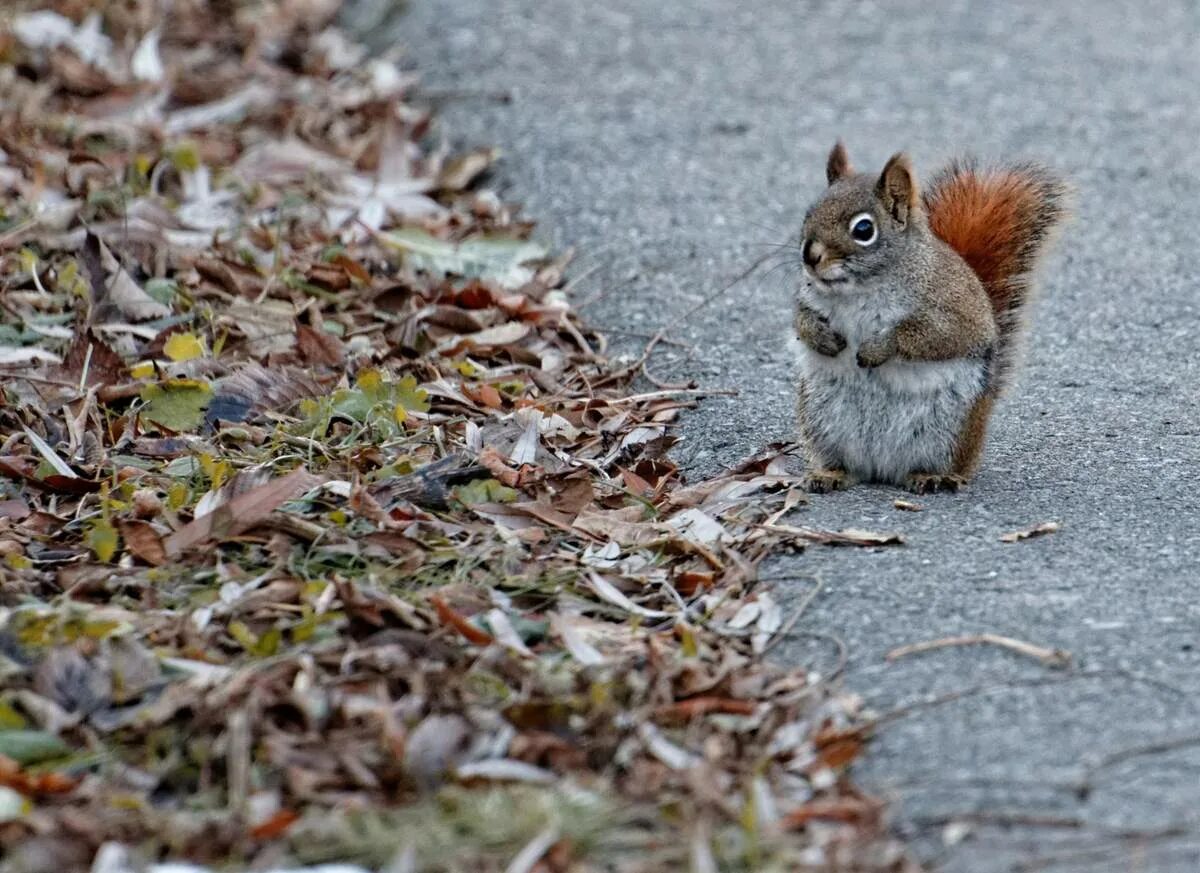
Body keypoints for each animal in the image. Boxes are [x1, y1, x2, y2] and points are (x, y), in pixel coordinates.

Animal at [796, 141, 1070, 491]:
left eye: (864, 229)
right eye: (810, 213)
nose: (810, 256)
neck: (859, 287)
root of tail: (882, 469)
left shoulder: (954, 309)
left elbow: (934, 336)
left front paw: (877, 349)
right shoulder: (807, 299)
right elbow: (800, 320)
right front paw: (823, 338)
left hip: (949, 430)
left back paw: (932, 476)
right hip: (822, 421)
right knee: (846, 464)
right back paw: (830, 474)